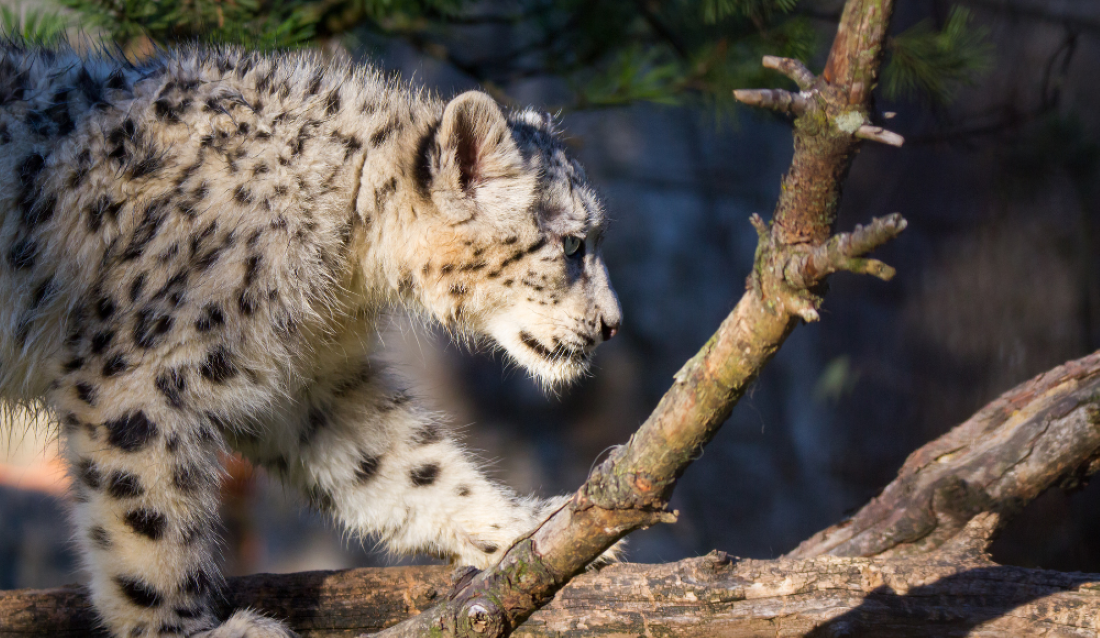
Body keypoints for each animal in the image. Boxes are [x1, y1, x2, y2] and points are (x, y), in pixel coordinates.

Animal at [0, 43, 620, 638]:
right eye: (571, 245)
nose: (612, 324)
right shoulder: (138, 372)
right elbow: (146, 512)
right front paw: (181, 628)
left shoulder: (304, 382)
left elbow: (406, 465)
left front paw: (532, 528)